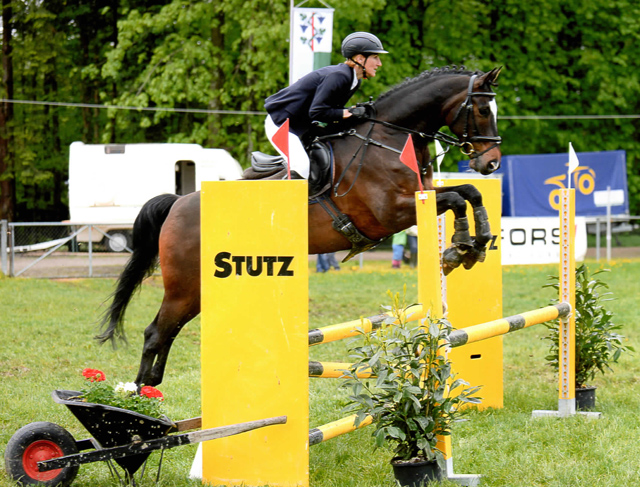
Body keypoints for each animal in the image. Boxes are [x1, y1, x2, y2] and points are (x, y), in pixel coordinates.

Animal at [97, 65, 502, 386]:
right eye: (482, 109)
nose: (492, 163)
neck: (388, 137)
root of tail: (178, 203)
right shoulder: (390, 213)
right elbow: (456, 199)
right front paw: (461, 247)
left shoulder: (422, 196)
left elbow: (468, 193)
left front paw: (475, 244)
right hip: (185, 285)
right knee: (156, 332)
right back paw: (141, 403)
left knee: (169, 331)